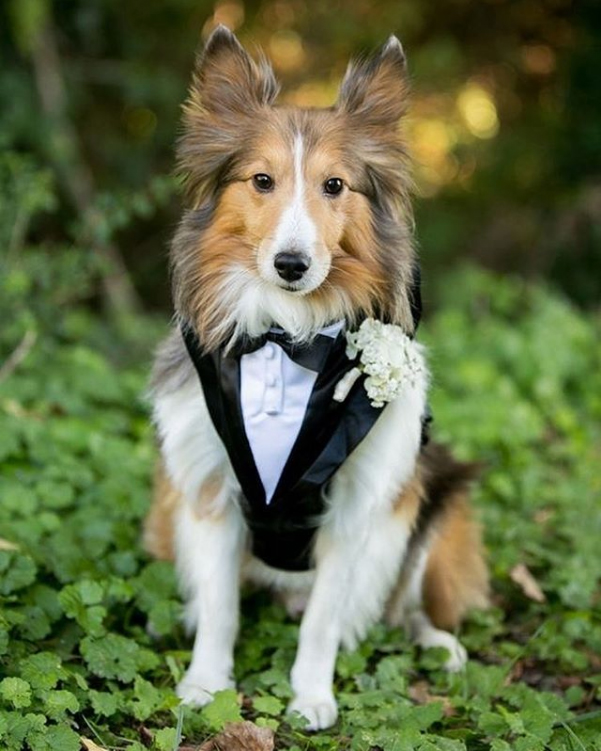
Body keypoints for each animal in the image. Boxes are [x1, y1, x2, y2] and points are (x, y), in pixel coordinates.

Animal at [144, 26, 488, 732]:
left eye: (335, 185)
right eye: (262, 181)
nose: (292, 264)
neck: (284, 337)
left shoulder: (357, 500)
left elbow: (327, 618)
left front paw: (310, 696)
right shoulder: (209, 485)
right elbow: (219, 607)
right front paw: (204, 685)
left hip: (437, 495)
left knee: (405, 600)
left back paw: (437, 643)